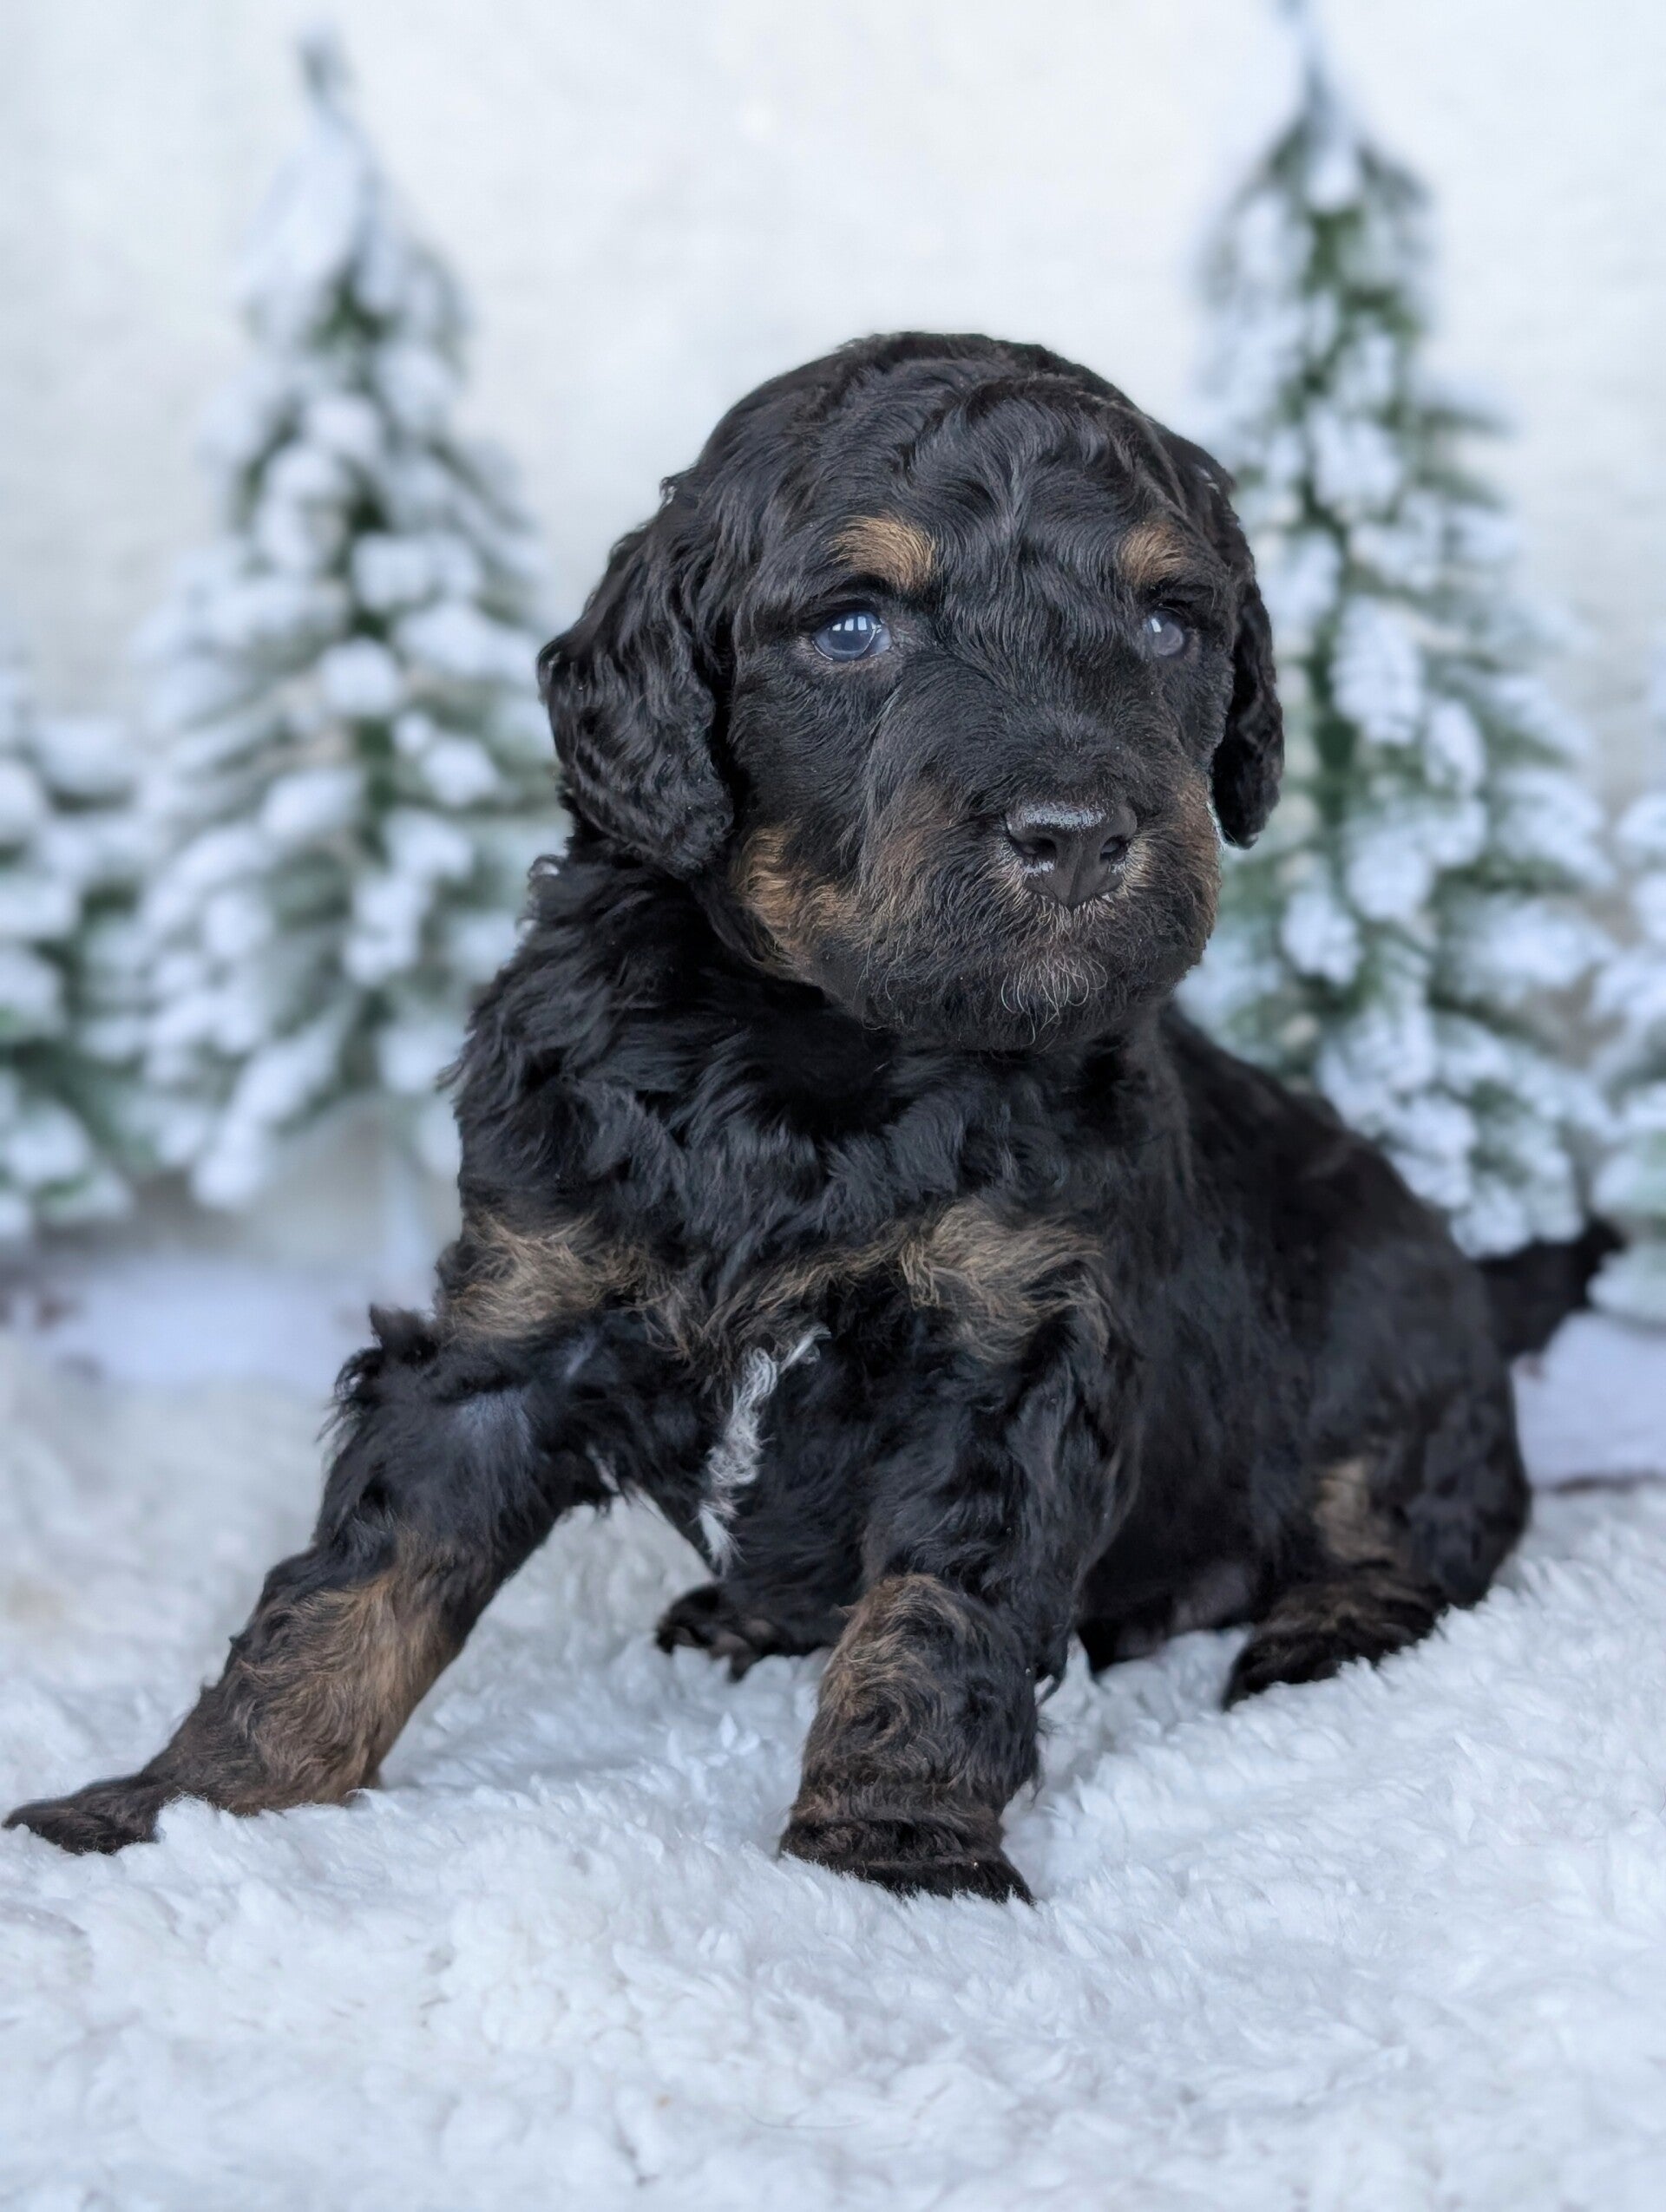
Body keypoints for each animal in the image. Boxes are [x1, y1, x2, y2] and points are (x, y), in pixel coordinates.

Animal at [8, 334, 1529, 1901]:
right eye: (854, 627)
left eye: (1171, 626)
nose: (1077, 835)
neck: (810, 1053)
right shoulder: (517, 1311)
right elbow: (354, 1579)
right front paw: (174, 1807)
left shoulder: (1010, 1342)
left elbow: (936, 1611)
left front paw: (892, 1849)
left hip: (1389, 1328)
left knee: (1412, 1525)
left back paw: (1324, 1629)